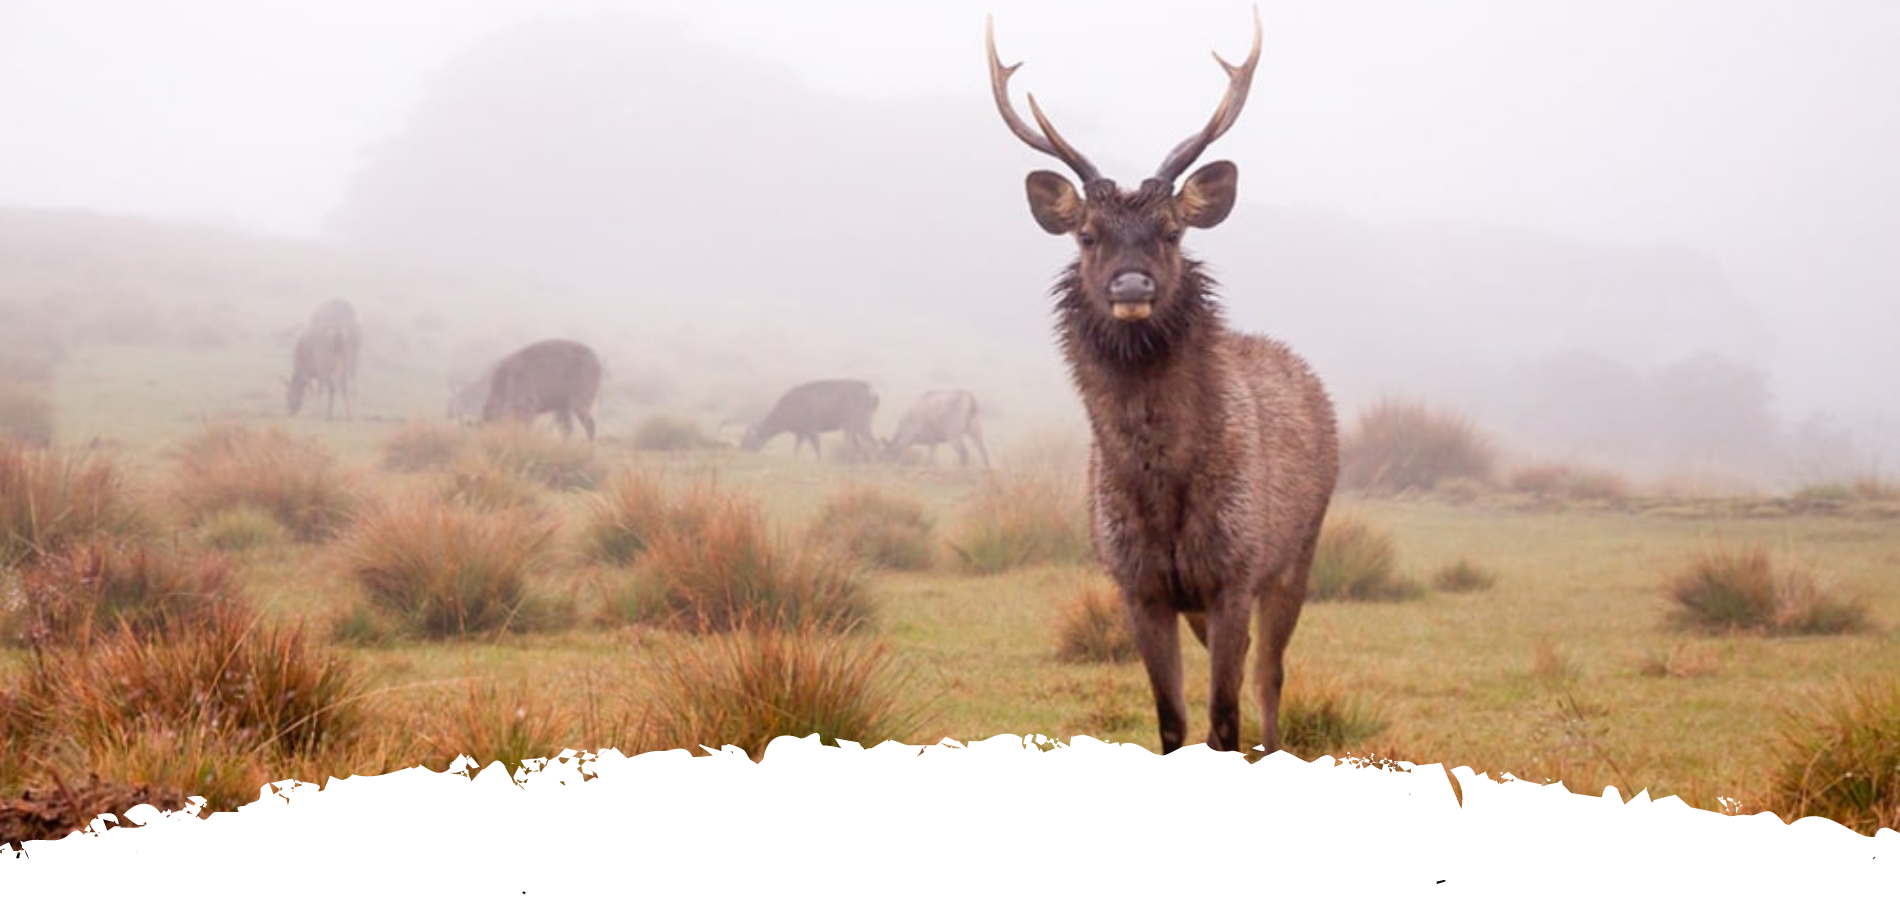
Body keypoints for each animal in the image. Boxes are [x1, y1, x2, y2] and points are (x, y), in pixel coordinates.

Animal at [744, 379, 885, 463]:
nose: (741, 448)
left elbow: (816, 446)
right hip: (857, 425)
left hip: (857, 422)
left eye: (748, 439)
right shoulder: (801, 431)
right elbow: (797, 447)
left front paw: (819, 461)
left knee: (867, 443)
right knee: (862, 444)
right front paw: (795, 458)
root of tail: (874, 396)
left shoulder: (810, 427)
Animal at [988, 10, 1345, 755]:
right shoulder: (1137, 584)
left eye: (1173, 230)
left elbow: (1224, 720)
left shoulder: (1236, 567)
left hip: (1300, 549)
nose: (1131, 287)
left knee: (1271, 674)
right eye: (1087, 235)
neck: (1162, 494)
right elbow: (1175, 723)